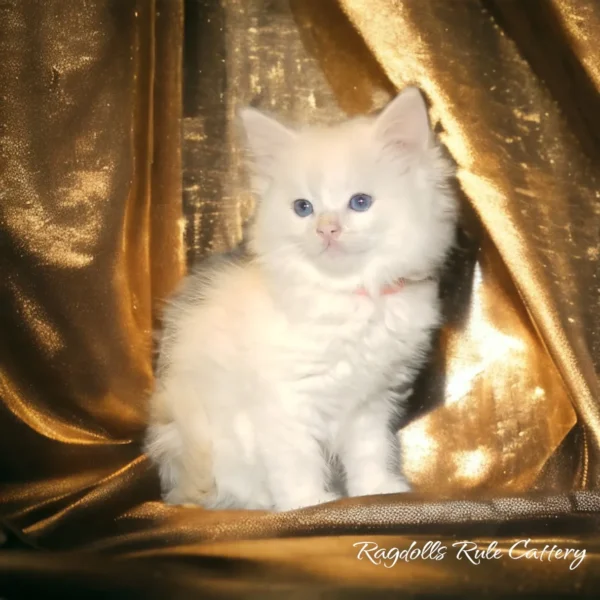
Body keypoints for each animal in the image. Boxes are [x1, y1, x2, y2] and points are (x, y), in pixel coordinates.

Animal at [144, 88, 454, 510]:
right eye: (303, 208)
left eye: (359, 202)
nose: (326, 229)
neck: (349, 297)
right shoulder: (285, 400)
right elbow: (296, 460)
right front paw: (308, 502)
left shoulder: (373, 401)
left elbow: (371, 450)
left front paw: (377, 490)